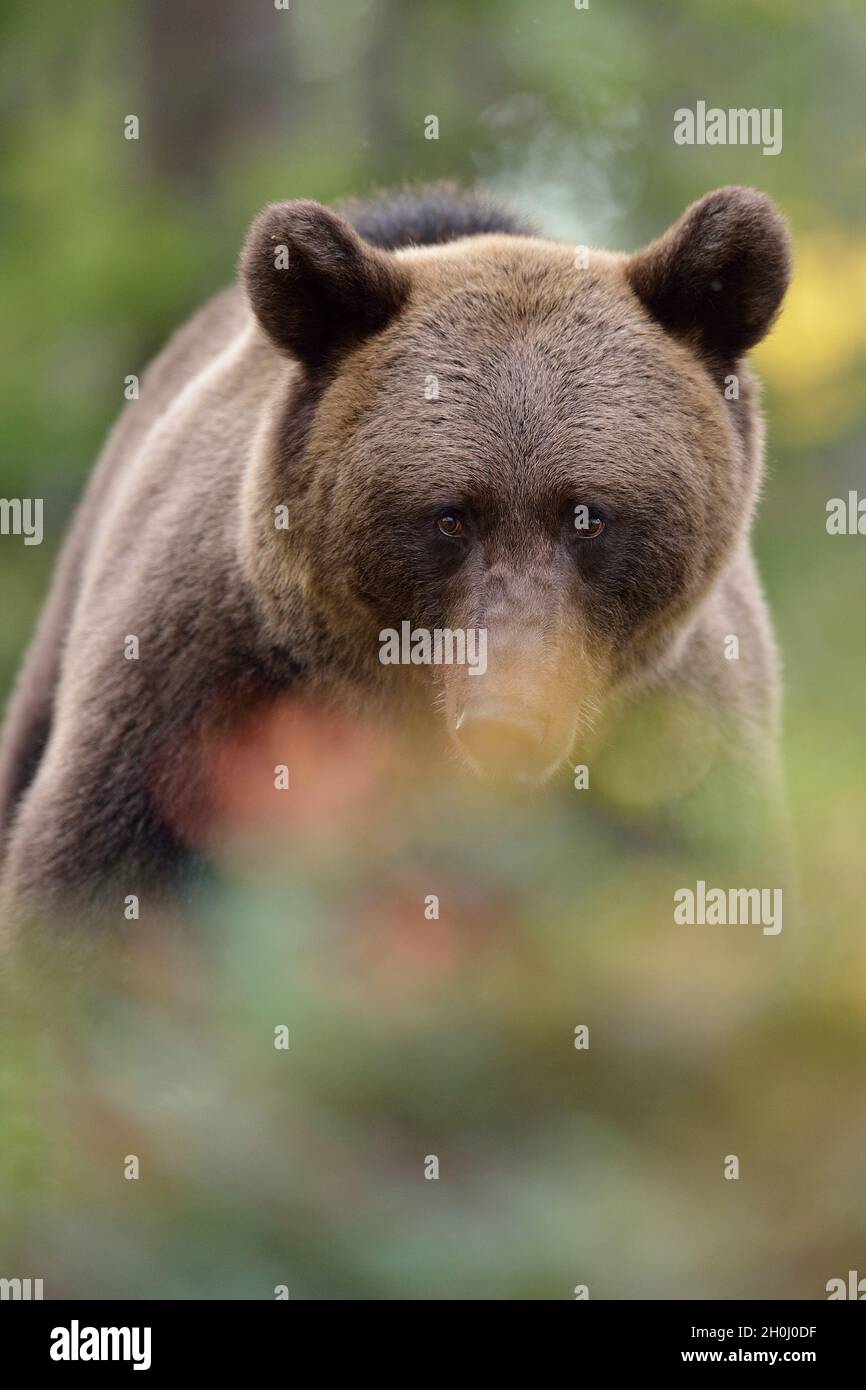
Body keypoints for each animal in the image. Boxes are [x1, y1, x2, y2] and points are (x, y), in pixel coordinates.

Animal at [0, 182, 791, 926]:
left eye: (588, 517)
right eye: (450, 517)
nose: (507, 719)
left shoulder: (671, 745)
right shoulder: (202, 689)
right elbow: (96, 882)